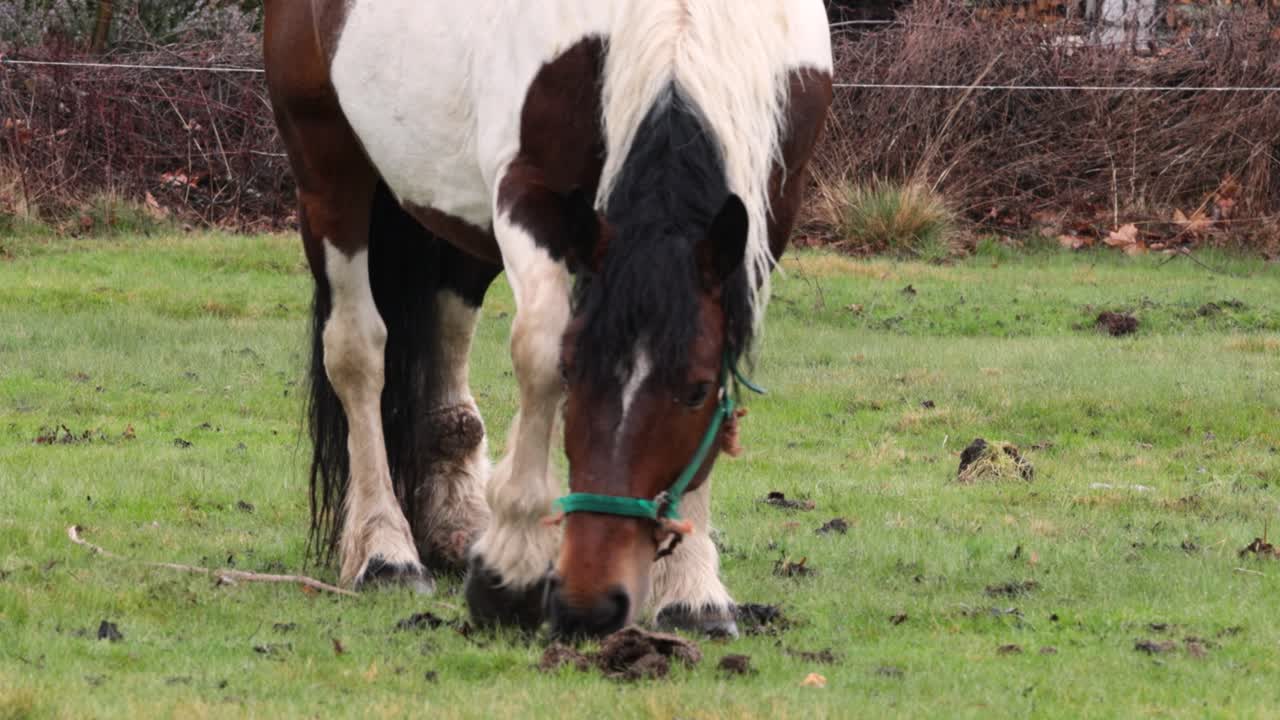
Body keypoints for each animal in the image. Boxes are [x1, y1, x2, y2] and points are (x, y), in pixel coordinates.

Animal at [263, 0, 832, 639]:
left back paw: (456, 523)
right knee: (357, 353)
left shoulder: (770, 211)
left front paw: (693, 592)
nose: (593, 601)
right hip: (328, 177)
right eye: (575, 374)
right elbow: (537, 355)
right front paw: (510, 573)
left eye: (695, 391)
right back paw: (386, 550)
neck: (677, 27)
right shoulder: (530, 195)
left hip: (457, 218)